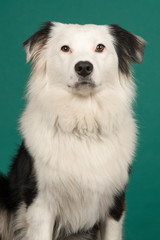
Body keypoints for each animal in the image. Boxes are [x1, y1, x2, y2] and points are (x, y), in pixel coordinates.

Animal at [0, 21, 145, 239]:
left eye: (100, 47)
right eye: (65, 48)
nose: (84, 67)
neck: (83, 122)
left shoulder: (115, 203)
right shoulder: (40, 203)